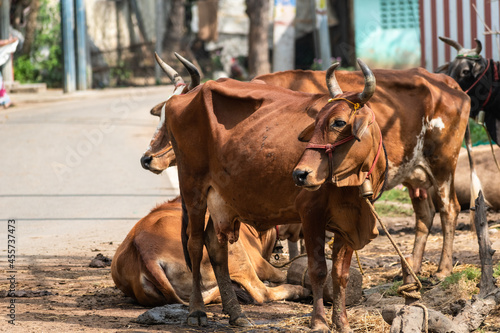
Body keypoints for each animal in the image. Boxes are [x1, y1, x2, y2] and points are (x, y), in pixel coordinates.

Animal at [112, 197, 308, 306]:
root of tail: (145, 251)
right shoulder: (259, 262)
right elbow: (279, 274)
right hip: (233, 251)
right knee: (261, 293)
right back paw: (299, 290)